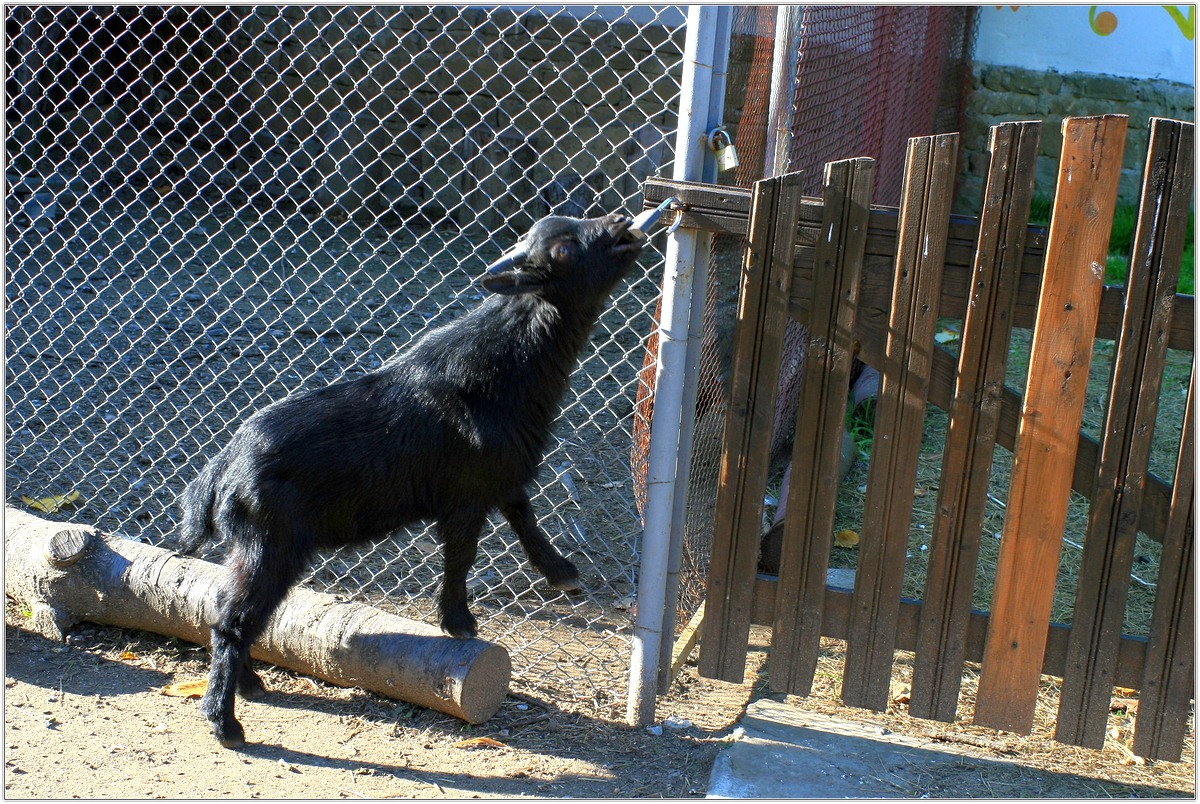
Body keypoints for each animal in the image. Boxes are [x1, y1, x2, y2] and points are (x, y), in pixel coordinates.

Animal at [175, 210, 652, 748]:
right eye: (564, 250)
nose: (621, 222)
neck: (506, 367)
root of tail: (224, 465)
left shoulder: (501, 471)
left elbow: (522, 513)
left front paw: (561, 572)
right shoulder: (465, 495)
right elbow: (462, 556)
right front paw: (460, 623)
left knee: (225, 607)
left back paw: (249, 685)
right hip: (270, 544)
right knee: (232, 620)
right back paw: (225, 720)